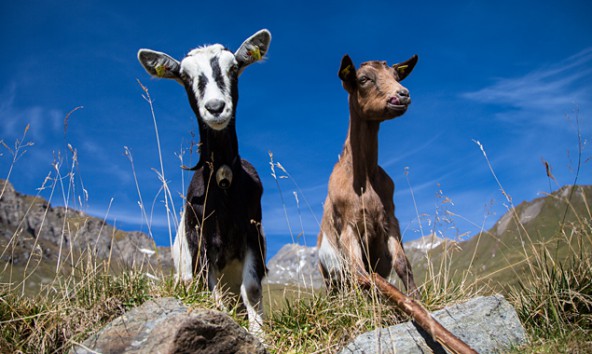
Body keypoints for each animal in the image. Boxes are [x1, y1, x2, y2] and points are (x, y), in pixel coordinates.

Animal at [138, 29, 270, 334]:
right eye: (185, 77)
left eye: (233, 68)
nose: (215, 107)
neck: (223, 182)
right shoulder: (202, 245)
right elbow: (212, 294)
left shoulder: (252, 233)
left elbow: (252, 289)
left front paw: (261, 335)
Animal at [316, 53, 418, 296]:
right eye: (364, 79)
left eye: (396, 75)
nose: (403, 94)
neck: (364, 178)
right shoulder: (348, 226)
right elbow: (360, 273)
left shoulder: (390, 219)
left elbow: (403, 264)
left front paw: (416, 299)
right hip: (329, 276)